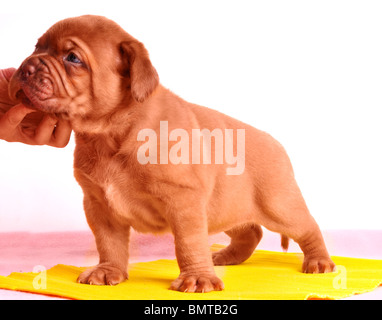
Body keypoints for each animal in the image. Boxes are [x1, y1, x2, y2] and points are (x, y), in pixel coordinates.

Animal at [8, 16, 334, 294]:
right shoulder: (99, 204)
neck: (111, 130)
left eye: (72, 58)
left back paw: (319, 262)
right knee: (249, 231)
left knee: (308, 226)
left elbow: (188, 243)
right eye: (37, 48)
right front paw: (108, 270)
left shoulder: (184, 201)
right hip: (226, 206)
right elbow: (109, 242)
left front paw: (198, 278)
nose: (25, 68)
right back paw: (226, 257)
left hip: (279, 205)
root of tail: (275, 143)